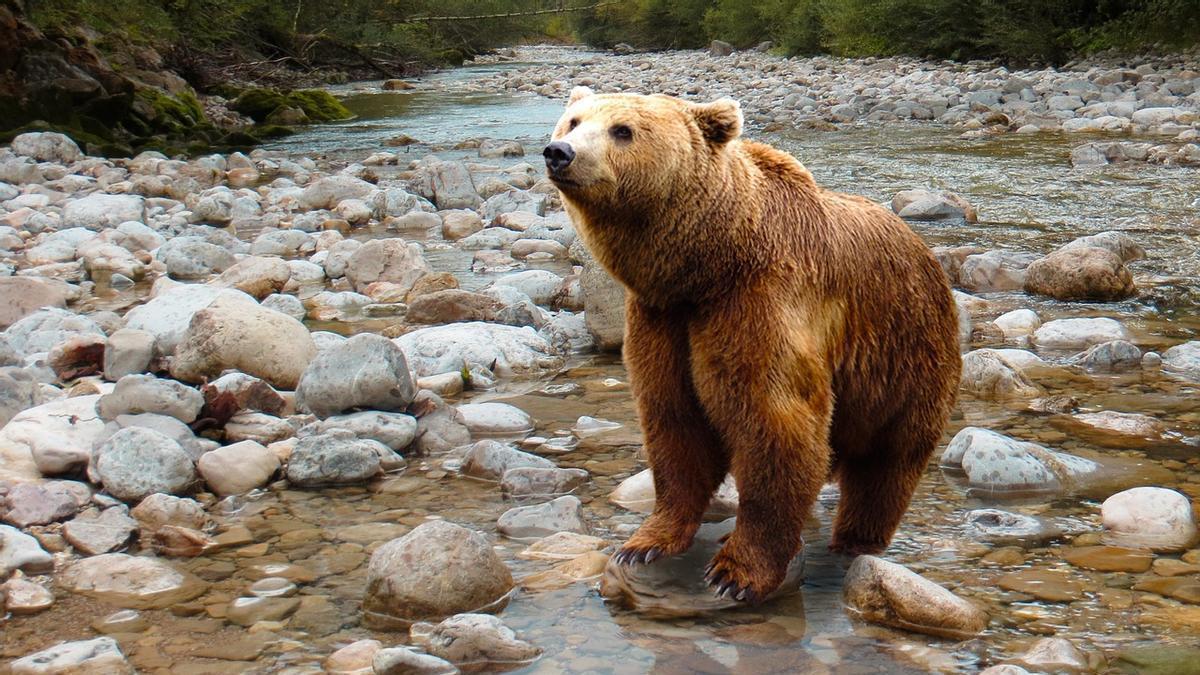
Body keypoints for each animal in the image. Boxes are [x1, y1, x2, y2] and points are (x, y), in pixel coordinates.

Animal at [543, 87, 962, 603]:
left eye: (623, 130)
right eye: (573, 121)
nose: (559, 152)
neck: (708, 264)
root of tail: (927, 251)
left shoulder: (759, 302)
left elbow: (774, 423)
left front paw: (735, 572)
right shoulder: (663, 320)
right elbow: (674, 422)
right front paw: (644, 543)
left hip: (905, 354)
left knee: (887, 462)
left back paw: (855, 538)